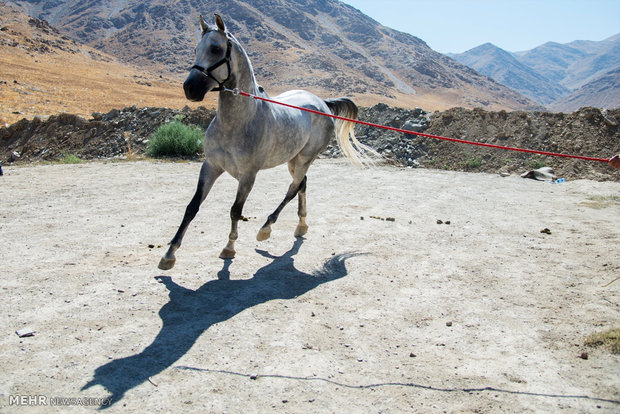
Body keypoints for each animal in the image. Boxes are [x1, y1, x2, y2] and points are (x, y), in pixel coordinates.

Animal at [157, 12, 376, 270]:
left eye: (215, 48)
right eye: (196, 49)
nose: (190, 88)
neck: (237, 123)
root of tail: (322, 102)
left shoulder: (248, 176)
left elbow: (235, 211)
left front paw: (229, 248)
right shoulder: (210, 166)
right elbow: (192, 207)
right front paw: (169, 254)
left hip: (304, 159)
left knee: (293, 188)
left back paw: (266, 228)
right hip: (293, 160)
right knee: (302, 185)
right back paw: (301, 226)